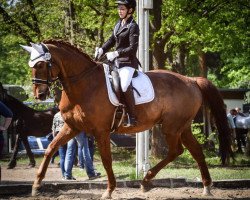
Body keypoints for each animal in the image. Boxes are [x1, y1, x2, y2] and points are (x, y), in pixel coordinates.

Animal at [20, 40, 231, 198]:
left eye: (40, 64)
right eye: (31, 66)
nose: (39, 94)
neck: (83, 84)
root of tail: (191, 80)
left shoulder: (101, 131)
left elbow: (106, 160)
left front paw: (109, 190)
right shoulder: (72, 127)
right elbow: (50, 149)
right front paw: (36, 186)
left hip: (172, 127)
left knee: (176, 151)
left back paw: (147, 181)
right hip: (182, 127)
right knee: (195, 151)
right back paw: (204, 186)